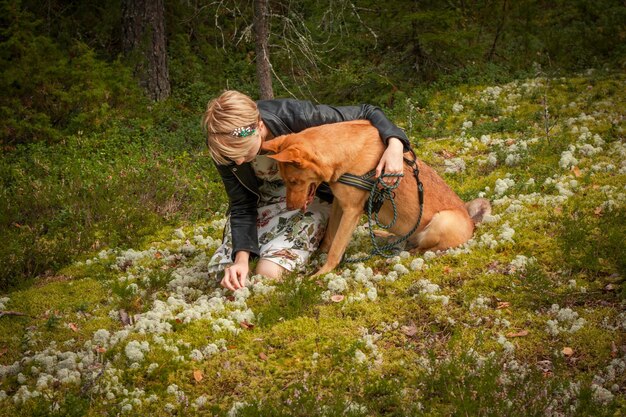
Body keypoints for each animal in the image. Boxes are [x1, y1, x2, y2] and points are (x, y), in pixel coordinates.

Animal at [260, 120, 490, 276]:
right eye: (285, 181)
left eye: (294, 181)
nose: (290, 207)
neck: (341, 154)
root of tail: (473, 222)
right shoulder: (339, 205)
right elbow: (329, 238)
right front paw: (319, 256)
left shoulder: (352, 210)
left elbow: (336, 248)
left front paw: (322, 273)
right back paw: (384, 235)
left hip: (442, 221)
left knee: (425, 247)